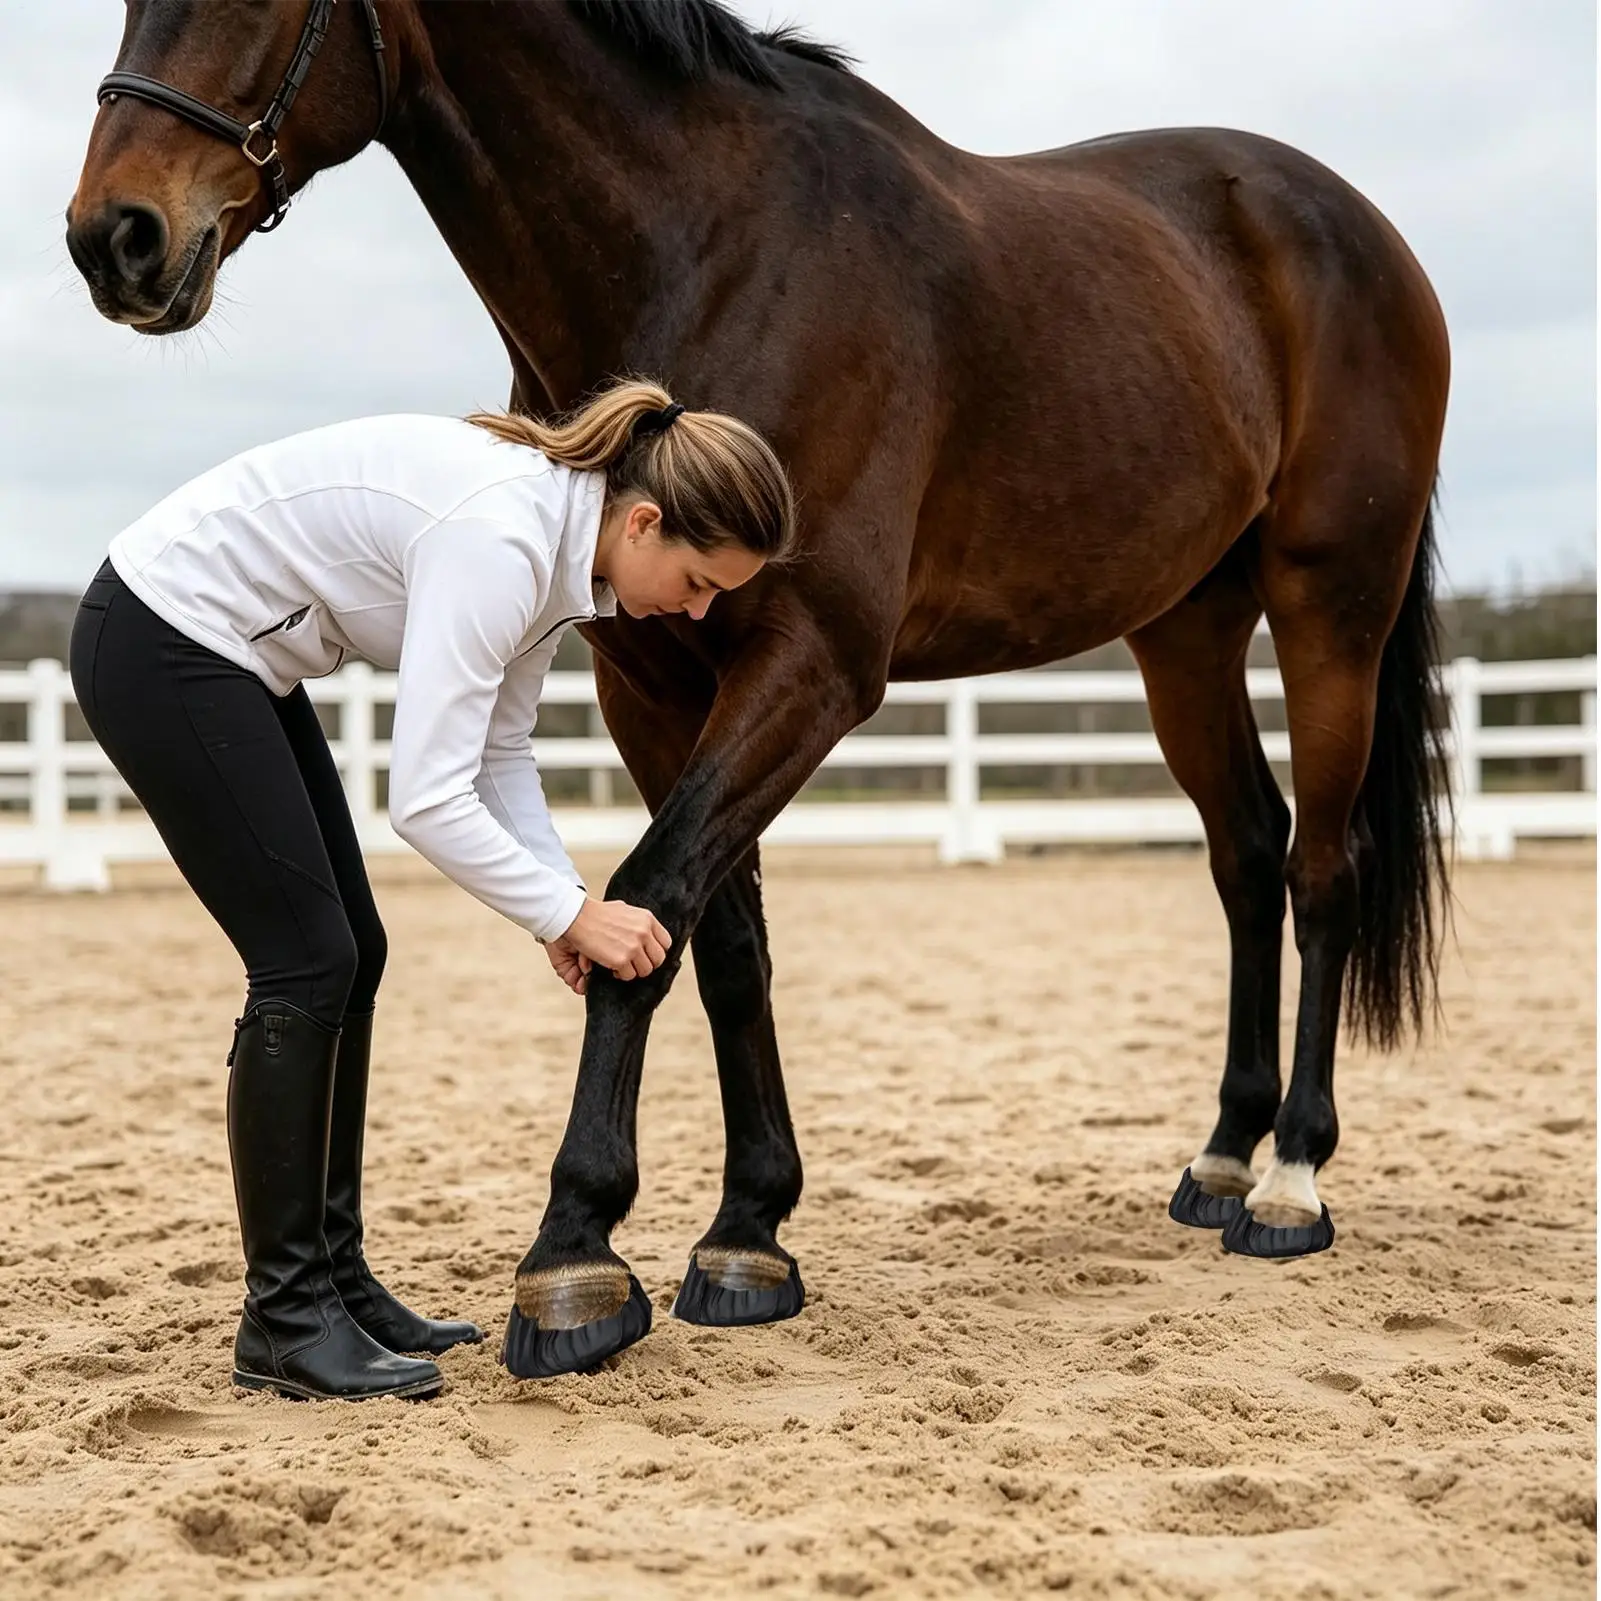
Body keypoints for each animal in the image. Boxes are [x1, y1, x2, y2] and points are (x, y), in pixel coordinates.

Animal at [66, 0, 1451, 1378]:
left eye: (261, 0)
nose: (112, 238)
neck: (710, 249)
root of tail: (1356, 227)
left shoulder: (813, 665)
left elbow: (645, 905)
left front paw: (573, 1254)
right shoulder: (651, 685)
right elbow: (719, 937)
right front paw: (746, 1232)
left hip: (1331, 604)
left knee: (1320, 868)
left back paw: (1288, 1180)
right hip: (1185, 629)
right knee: (1245, 853)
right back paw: (1220, 1155)